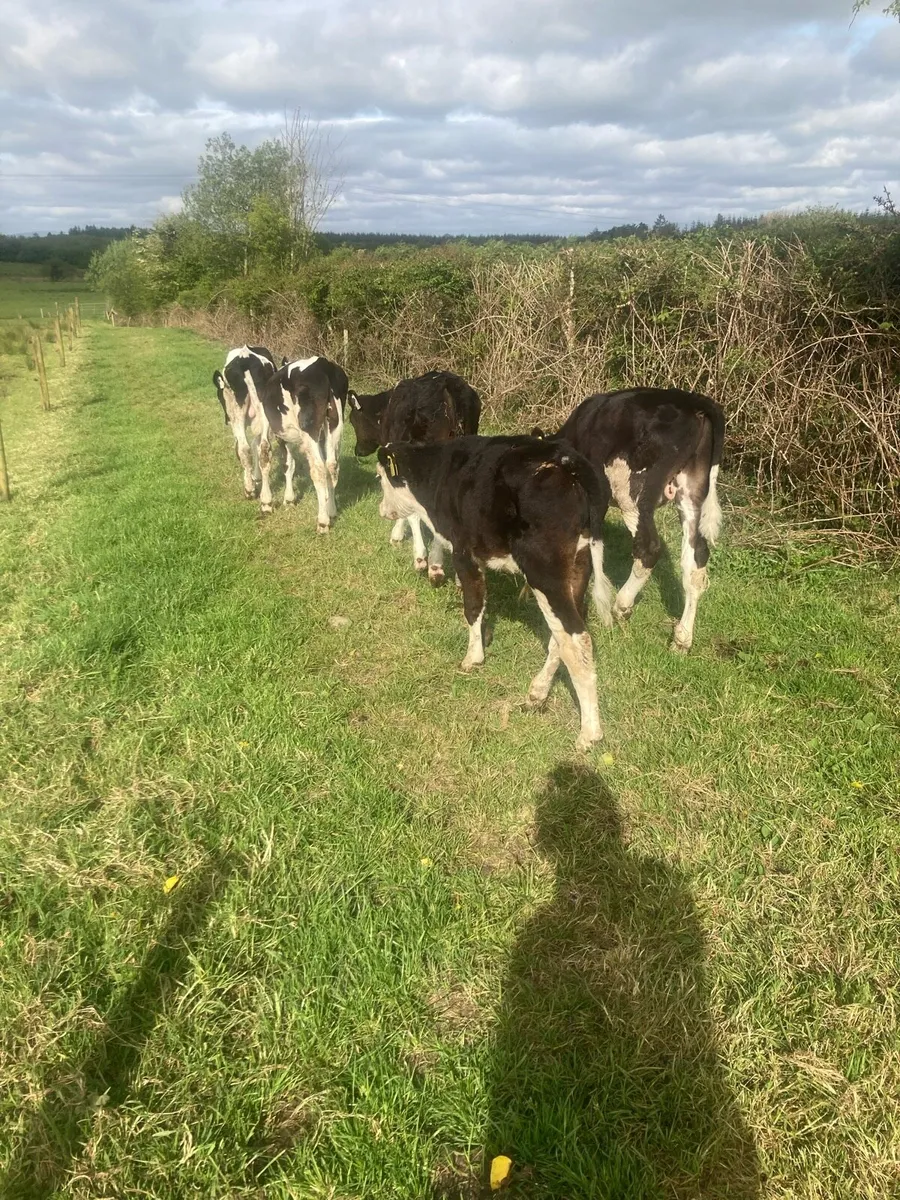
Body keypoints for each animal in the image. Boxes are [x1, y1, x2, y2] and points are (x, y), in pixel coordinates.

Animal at [212, 345, 278, 500]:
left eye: (219, 397)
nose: (226, 420)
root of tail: (245, 358)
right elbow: (257, 445)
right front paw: (257, 478)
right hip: (264, 411)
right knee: (264, 448)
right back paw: (266, 499)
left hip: (237, 412)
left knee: (244, 449)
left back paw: (249, 490)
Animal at [253, 355, 351, 530]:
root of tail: (323, 365)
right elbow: (289, 464)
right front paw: (290, 499)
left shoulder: (266, 422)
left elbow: (265, 455)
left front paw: (266, 503)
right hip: (335, 424)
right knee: (332, 465)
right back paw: (331, 511)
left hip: (309, 429)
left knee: (318, 468)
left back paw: (323, 522)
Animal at [375, 434, 609, 751]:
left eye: (380, 478)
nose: (381, 510)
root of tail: (565, 458)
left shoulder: (464, 551)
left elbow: (472, 606)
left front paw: (473, 657)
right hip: (578, 566)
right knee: (562, 636)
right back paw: (538, 692)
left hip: (543, 570)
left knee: (576, 639)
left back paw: (589, 733)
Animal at [548, 387, 725, 653]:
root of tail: (694, 401)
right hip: (692, 489)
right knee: (696, 558)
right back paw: (682, 639)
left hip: (633, 492)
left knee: (649, 547)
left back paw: (622, 604)